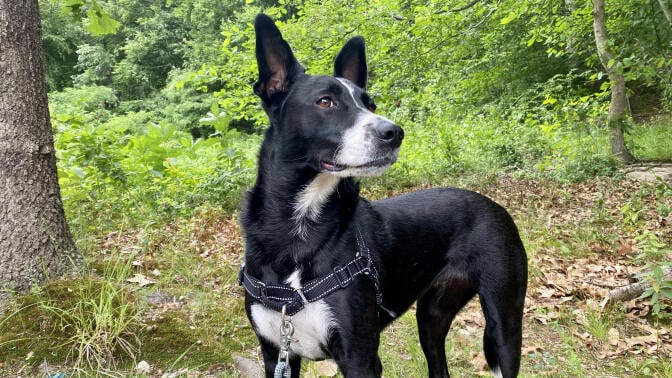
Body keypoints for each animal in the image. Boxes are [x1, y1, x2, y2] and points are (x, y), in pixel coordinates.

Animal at [239, 14, 528, 378]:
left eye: (370, 104)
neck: (297, 230)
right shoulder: (277, 353)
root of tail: (492, 205)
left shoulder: (360, 356)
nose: (394, 133)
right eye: (325, 101)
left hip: (504, 321)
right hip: (431, 317)